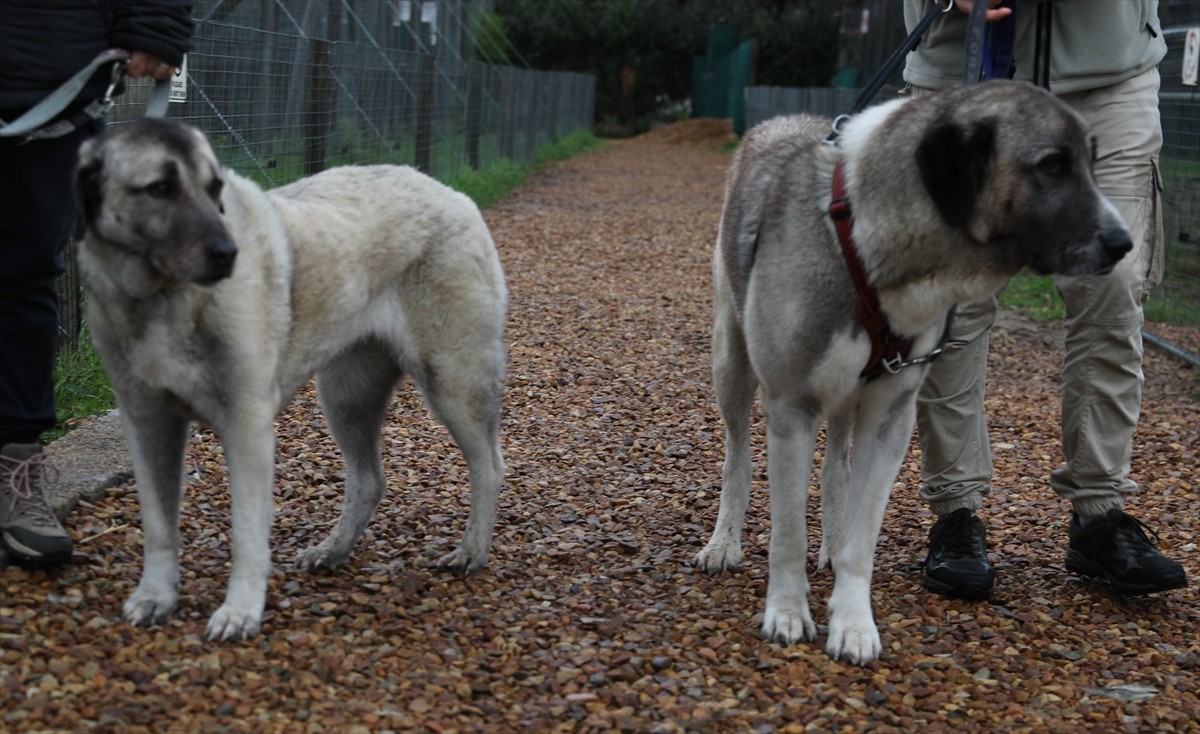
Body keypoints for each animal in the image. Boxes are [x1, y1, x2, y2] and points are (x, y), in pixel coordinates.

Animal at [75, 117, 506, 638]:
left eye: (214, 189)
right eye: (160, 188)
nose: (228, 254)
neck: (162, 301)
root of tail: (451, 193)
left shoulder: (246, 429)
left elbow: (246, 533)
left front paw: (239, 612)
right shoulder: (148, 425)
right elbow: (159, 527)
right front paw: (156, 597)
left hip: (452, 383)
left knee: (489, 467)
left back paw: (472, 551)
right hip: (346, 398)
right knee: (369, 480)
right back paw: (334, 549)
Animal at [696, 81, 1132, 666]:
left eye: (1092, 162)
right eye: (1052, 165)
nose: (1125, 244)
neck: (866, 242)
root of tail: (778, 122)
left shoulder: (889, 417)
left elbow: (862, 539)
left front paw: (853, 623)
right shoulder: (791, 406)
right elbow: (786, 533)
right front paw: (786, 614)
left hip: (848, 399)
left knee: (835, 470)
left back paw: (830, 541)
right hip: (733, 362)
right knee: (737, 458)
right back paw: (724, 542)